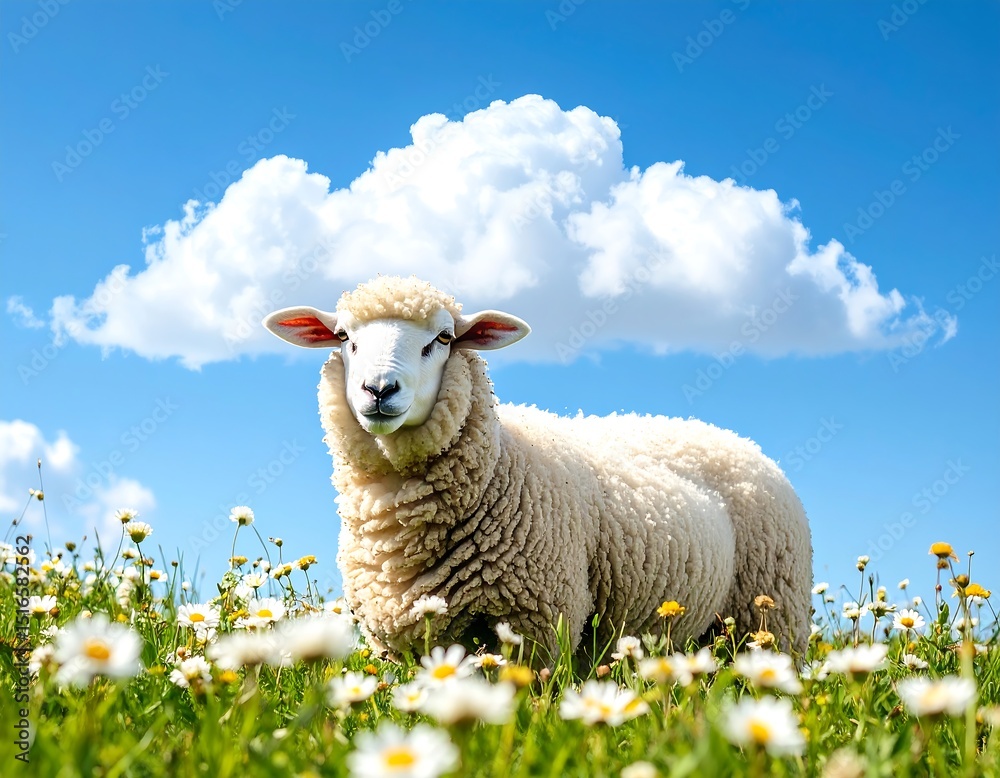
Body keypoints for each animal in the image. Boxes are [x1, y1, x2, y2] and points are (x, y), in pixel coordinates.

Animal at [263, 275, 812, 657]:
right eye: (343, 336)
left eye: (444, 338)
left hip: (768, 617)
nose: (379, 390)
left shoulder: (542, 619)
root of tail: (737, 440)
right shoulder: (403, 639)